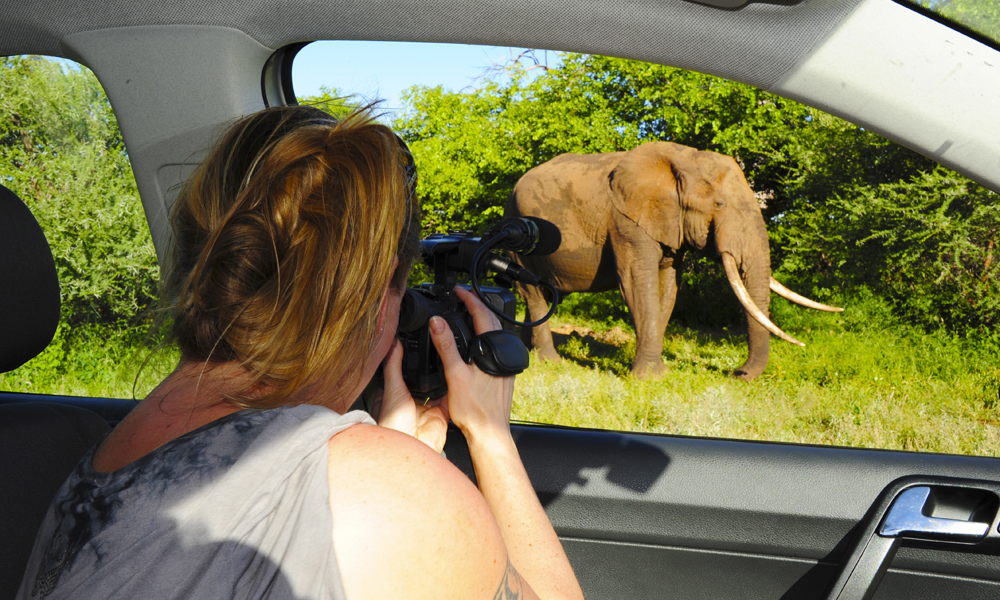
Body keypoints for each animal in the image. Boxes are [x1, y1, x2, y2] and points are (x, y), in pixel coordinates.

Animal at [504, 142, 840, 380]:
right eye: (719, 204)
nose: (738, 374)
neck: (684, 162)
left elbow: (667, 285)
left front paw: (660, 373)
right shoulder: (625, 221)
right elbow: (637, 283)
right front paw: (649, 379)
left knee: (544, 294)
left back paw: (525, 349)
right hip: (519, 234)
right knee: (533, 293)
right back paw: (549, 361)